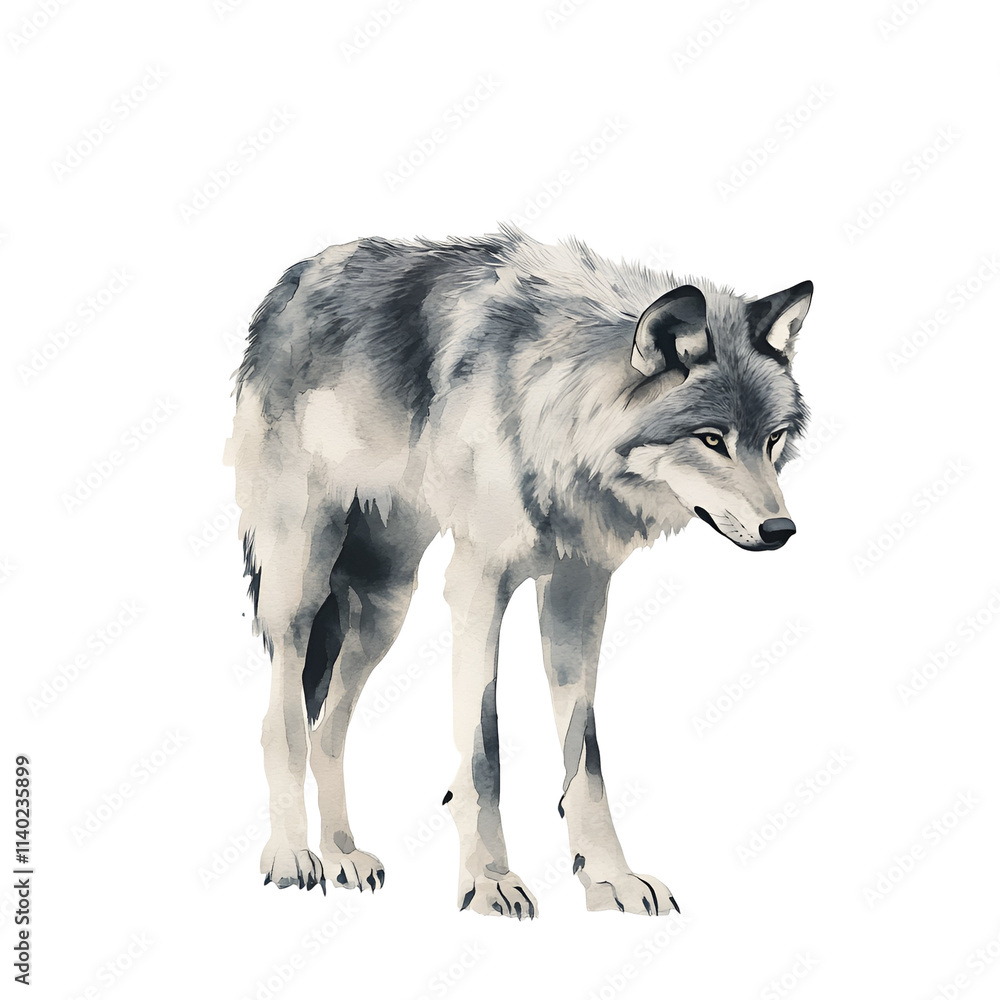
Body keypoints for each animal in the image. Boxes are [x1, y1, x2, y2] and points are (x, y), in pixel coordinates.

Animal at [227, 225, 812, 919]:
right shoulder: (479, 585)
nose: (781, 531)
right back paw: (293, 855)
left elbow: (584, 755)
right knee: (284, 721)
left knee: (329, 731)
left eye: (772, 440)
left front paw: (609, 878)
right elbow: (484, 750)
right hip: (302, 581)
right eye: (712, 439)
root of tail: (292, 281)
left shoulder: (579, 590)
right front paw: (489, 882)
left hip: (386, 603)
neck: (551, 409)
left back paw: (344, 856)